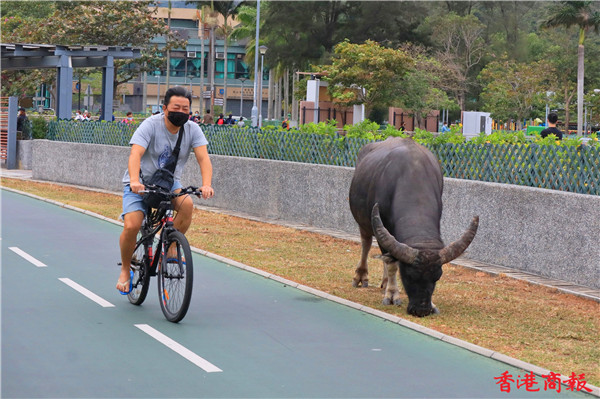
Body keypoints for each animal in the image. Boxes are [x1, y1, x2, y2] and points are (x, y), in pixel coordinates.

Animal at [346, 138, 478, 318]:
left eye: (437, 277)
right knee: (366, 245)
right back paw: (361, 277)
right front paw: (392, 295)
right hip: (363, 222)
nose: (422, 310)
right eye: (408, 276)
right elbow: (392, 264)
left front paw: (432, 303)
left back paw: (384, 282)